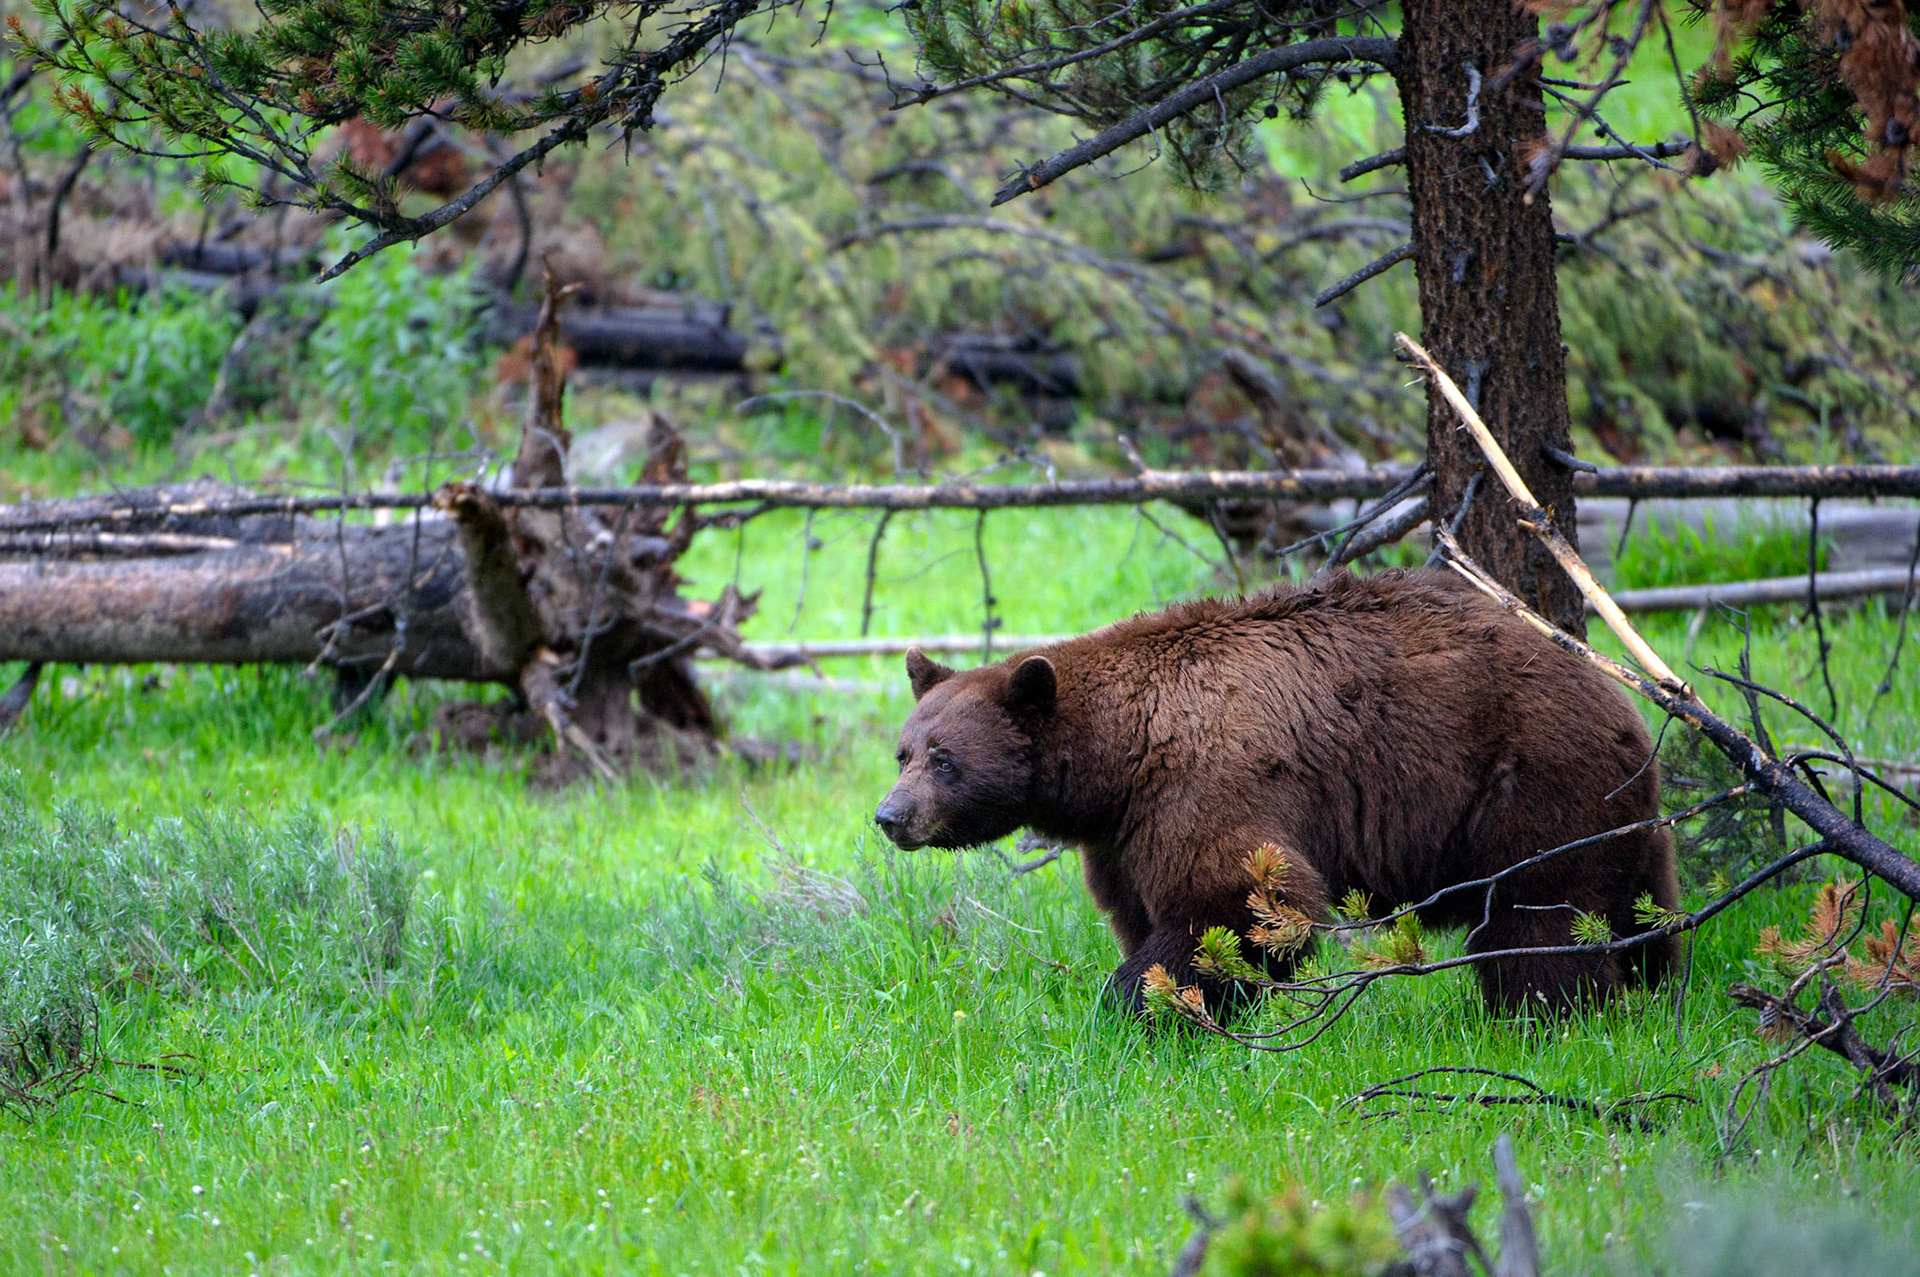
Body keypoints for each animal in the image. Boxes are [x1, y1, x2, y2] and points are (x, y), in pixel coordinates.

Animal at [872, 567, 1679, 1018]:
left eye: (944, 760)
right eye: (904, 751)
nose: (890, 816)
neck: (1121, 755)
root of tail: (1626, 701)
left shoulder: (1210, 780)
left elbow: (1232, 904)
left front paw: (1139, 1005)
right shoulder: (1124, 832)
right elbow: (1142, 907)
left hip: (1528, 788)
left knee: (1538, 920)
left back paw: (1547, 1013)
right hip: (1613, 811)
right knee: (1637, 902)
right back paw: (1654, 983)